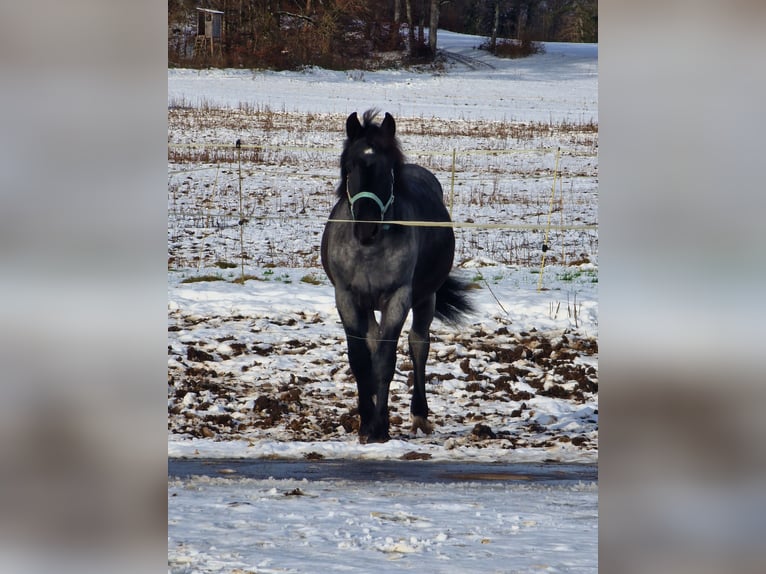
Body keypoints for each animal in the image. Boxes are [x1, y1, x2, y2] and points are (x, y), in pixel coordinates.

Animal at [320, 112, 474, 446]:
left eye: (387, 168)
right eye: (350, 165)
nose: (366, 228)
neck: (368, 251)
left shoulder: (398, 298)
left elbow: (386, 361)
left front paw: (379, 428)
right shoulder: (347, 298)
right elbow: (361, 360)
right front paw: (367, 424)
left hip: (425, 298)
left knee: (419, 345)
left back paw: (419, 414)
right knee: (375, 343)